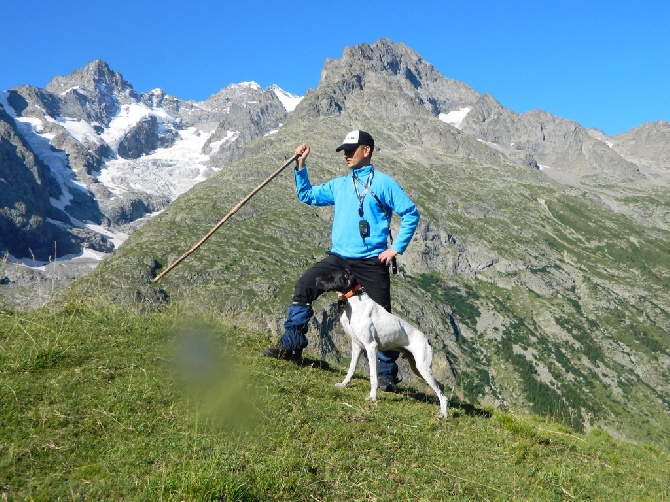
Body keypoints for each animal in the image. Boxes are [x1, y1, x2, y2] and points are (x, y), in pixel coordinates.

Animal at [316, 268, 452, 418]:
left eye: (330, 275)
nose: (316, 280)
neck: (355, 302)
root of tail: (427, 339)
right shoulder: (356, 346)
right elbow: (351, 369)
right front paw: (344, 384)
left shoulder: (371, 347)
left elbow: (373, 376)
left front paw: (372, 397)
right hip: (418, 368)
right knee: (441, 387)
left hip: (423, 367)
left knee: (442, 393)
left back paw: (443, 414)